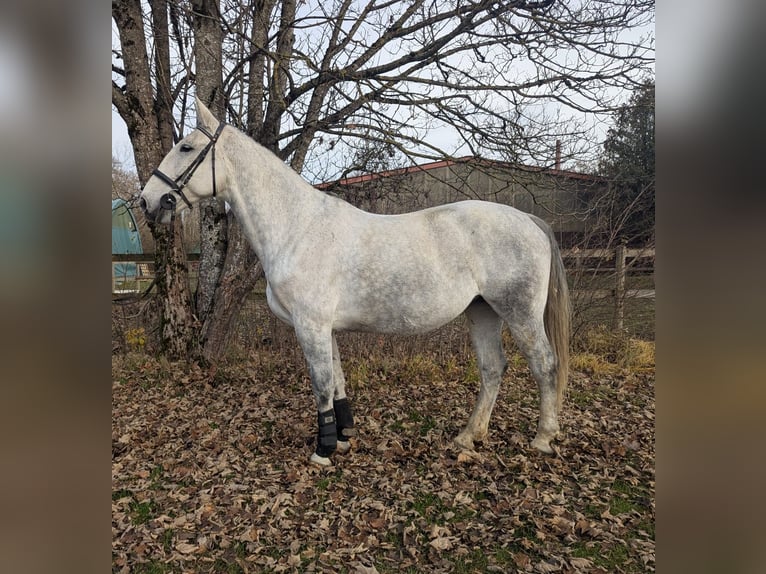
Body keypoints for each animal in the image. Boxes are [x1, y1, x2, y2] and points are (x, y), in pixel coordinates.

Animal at [140, 98, 570, 467]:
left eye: (186, 147)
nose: (147, 200)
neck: (297, 227)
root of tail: (528, 219)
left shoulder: (310, 325)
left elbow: (321, 384)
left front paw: (323, 450)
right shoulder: (323, 327)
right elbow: (337, 380)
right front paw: (343, 437)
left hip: (519, 312)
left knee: (545, 365)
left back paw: (542, 438)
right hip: (482, 311)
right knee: (492, 368)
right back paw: (468, 437)